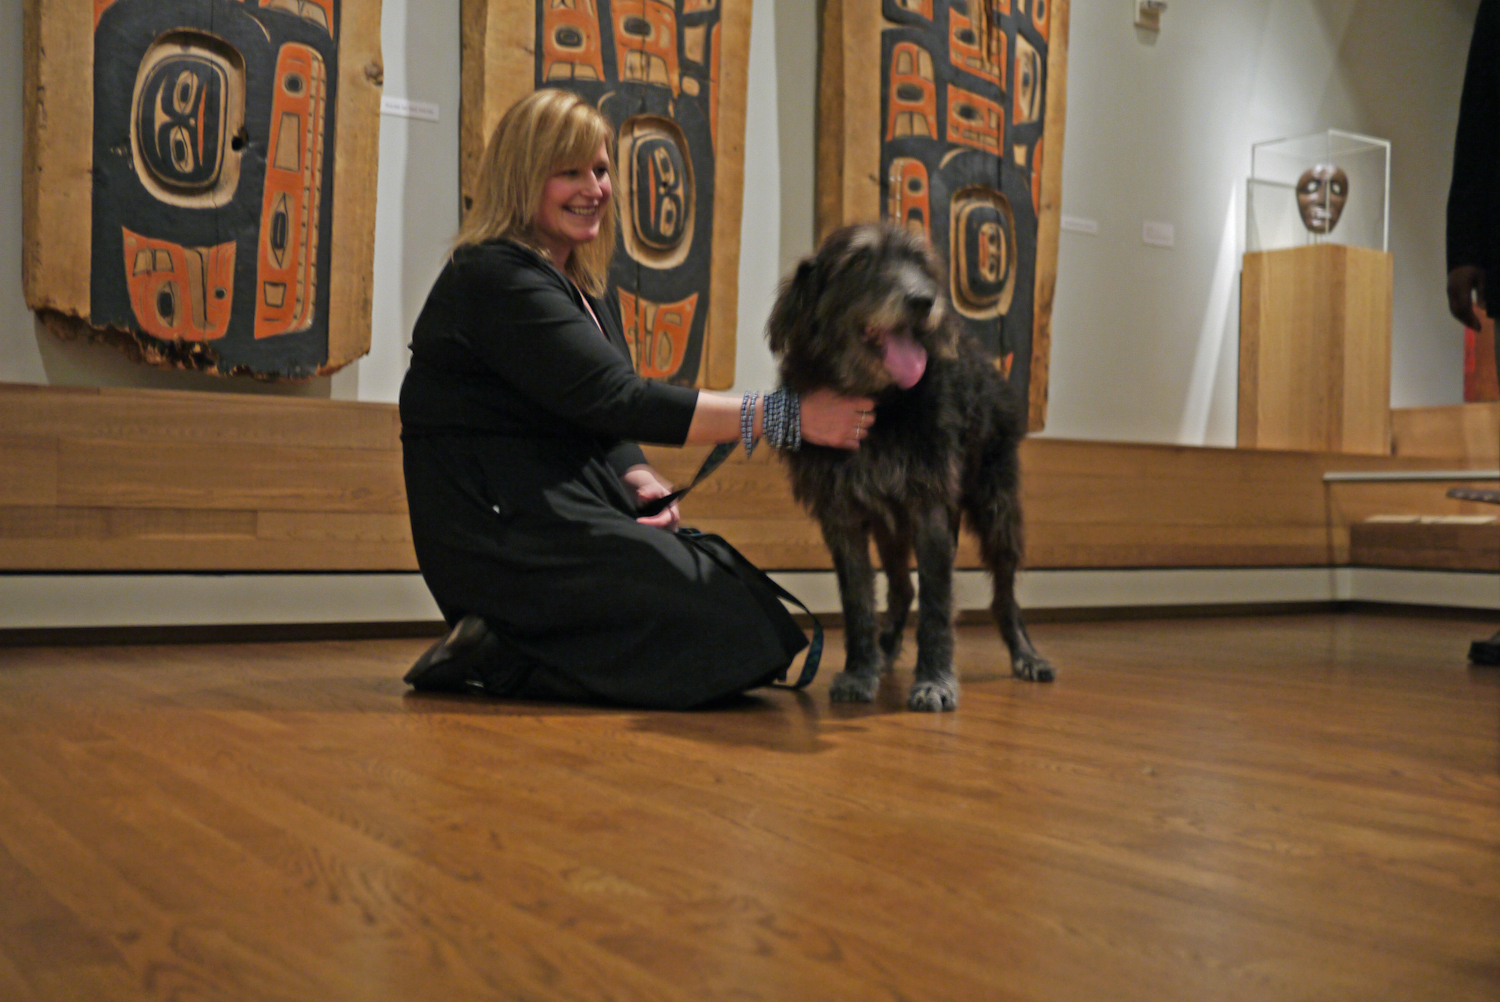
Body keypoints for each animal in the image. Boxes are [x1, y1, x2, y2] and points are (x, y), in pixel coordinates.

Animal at [768, 223, 1050, 708]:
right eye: (859, 260)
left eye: (920, 262)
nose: (924, 301)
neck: (879, 402)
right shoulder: (842, 517)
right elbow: (858, 601)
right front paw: (861, 670)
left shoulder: (929, 508)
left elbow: (937, 600)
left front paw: (935, 678)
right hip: (889, 526)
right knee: (902, 587)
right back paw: (885, 648)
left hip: (996, 509)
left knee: (1004, 595)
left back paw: (1024, 653)